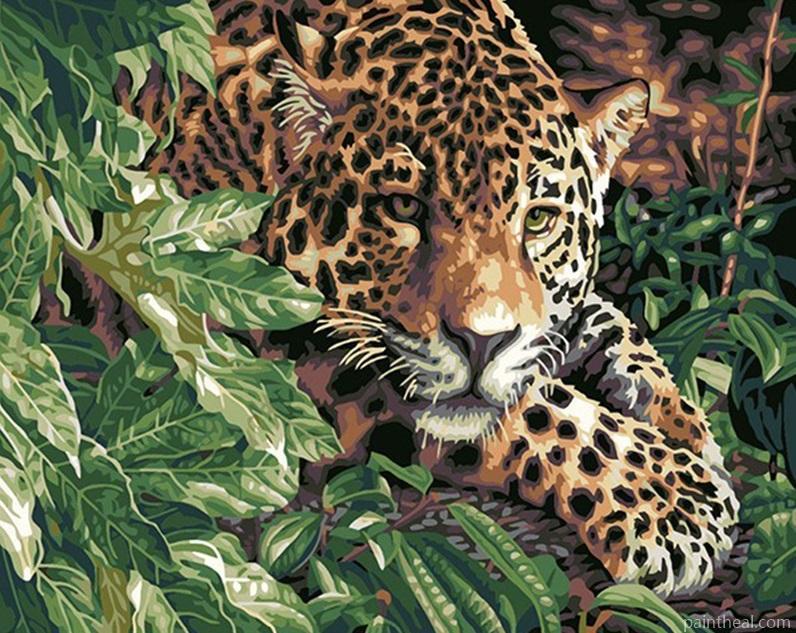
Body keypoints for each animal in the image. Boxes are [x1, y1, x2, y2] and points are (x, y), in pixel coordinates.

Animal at [131, 0, 740, 599]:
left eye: (539, 220)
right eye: (403, 208)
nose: (481, 342)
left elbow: (604, 327)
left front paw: (685, 425)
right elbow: (538, 408)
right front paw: (675, 500)